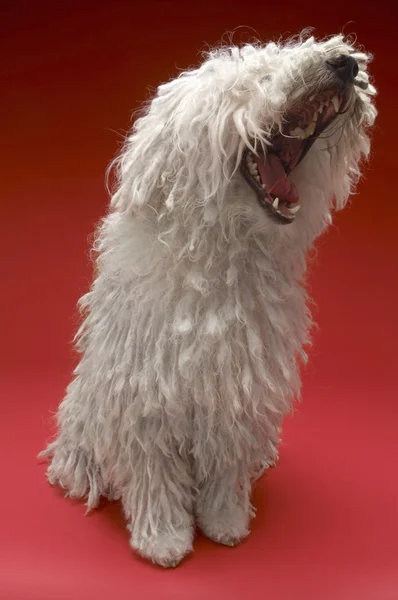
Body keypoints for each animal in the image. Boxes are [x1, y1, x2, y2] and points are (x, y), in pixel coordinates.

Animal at [40, 31, 376, 568]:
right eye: (257, 77)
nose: (345, 64)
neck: (220, 264)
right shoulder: (147, 399)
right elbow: (155, 477)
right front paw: (164, 540)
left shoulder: (236, 392)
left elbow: (225, 467)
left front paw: (226, 523)